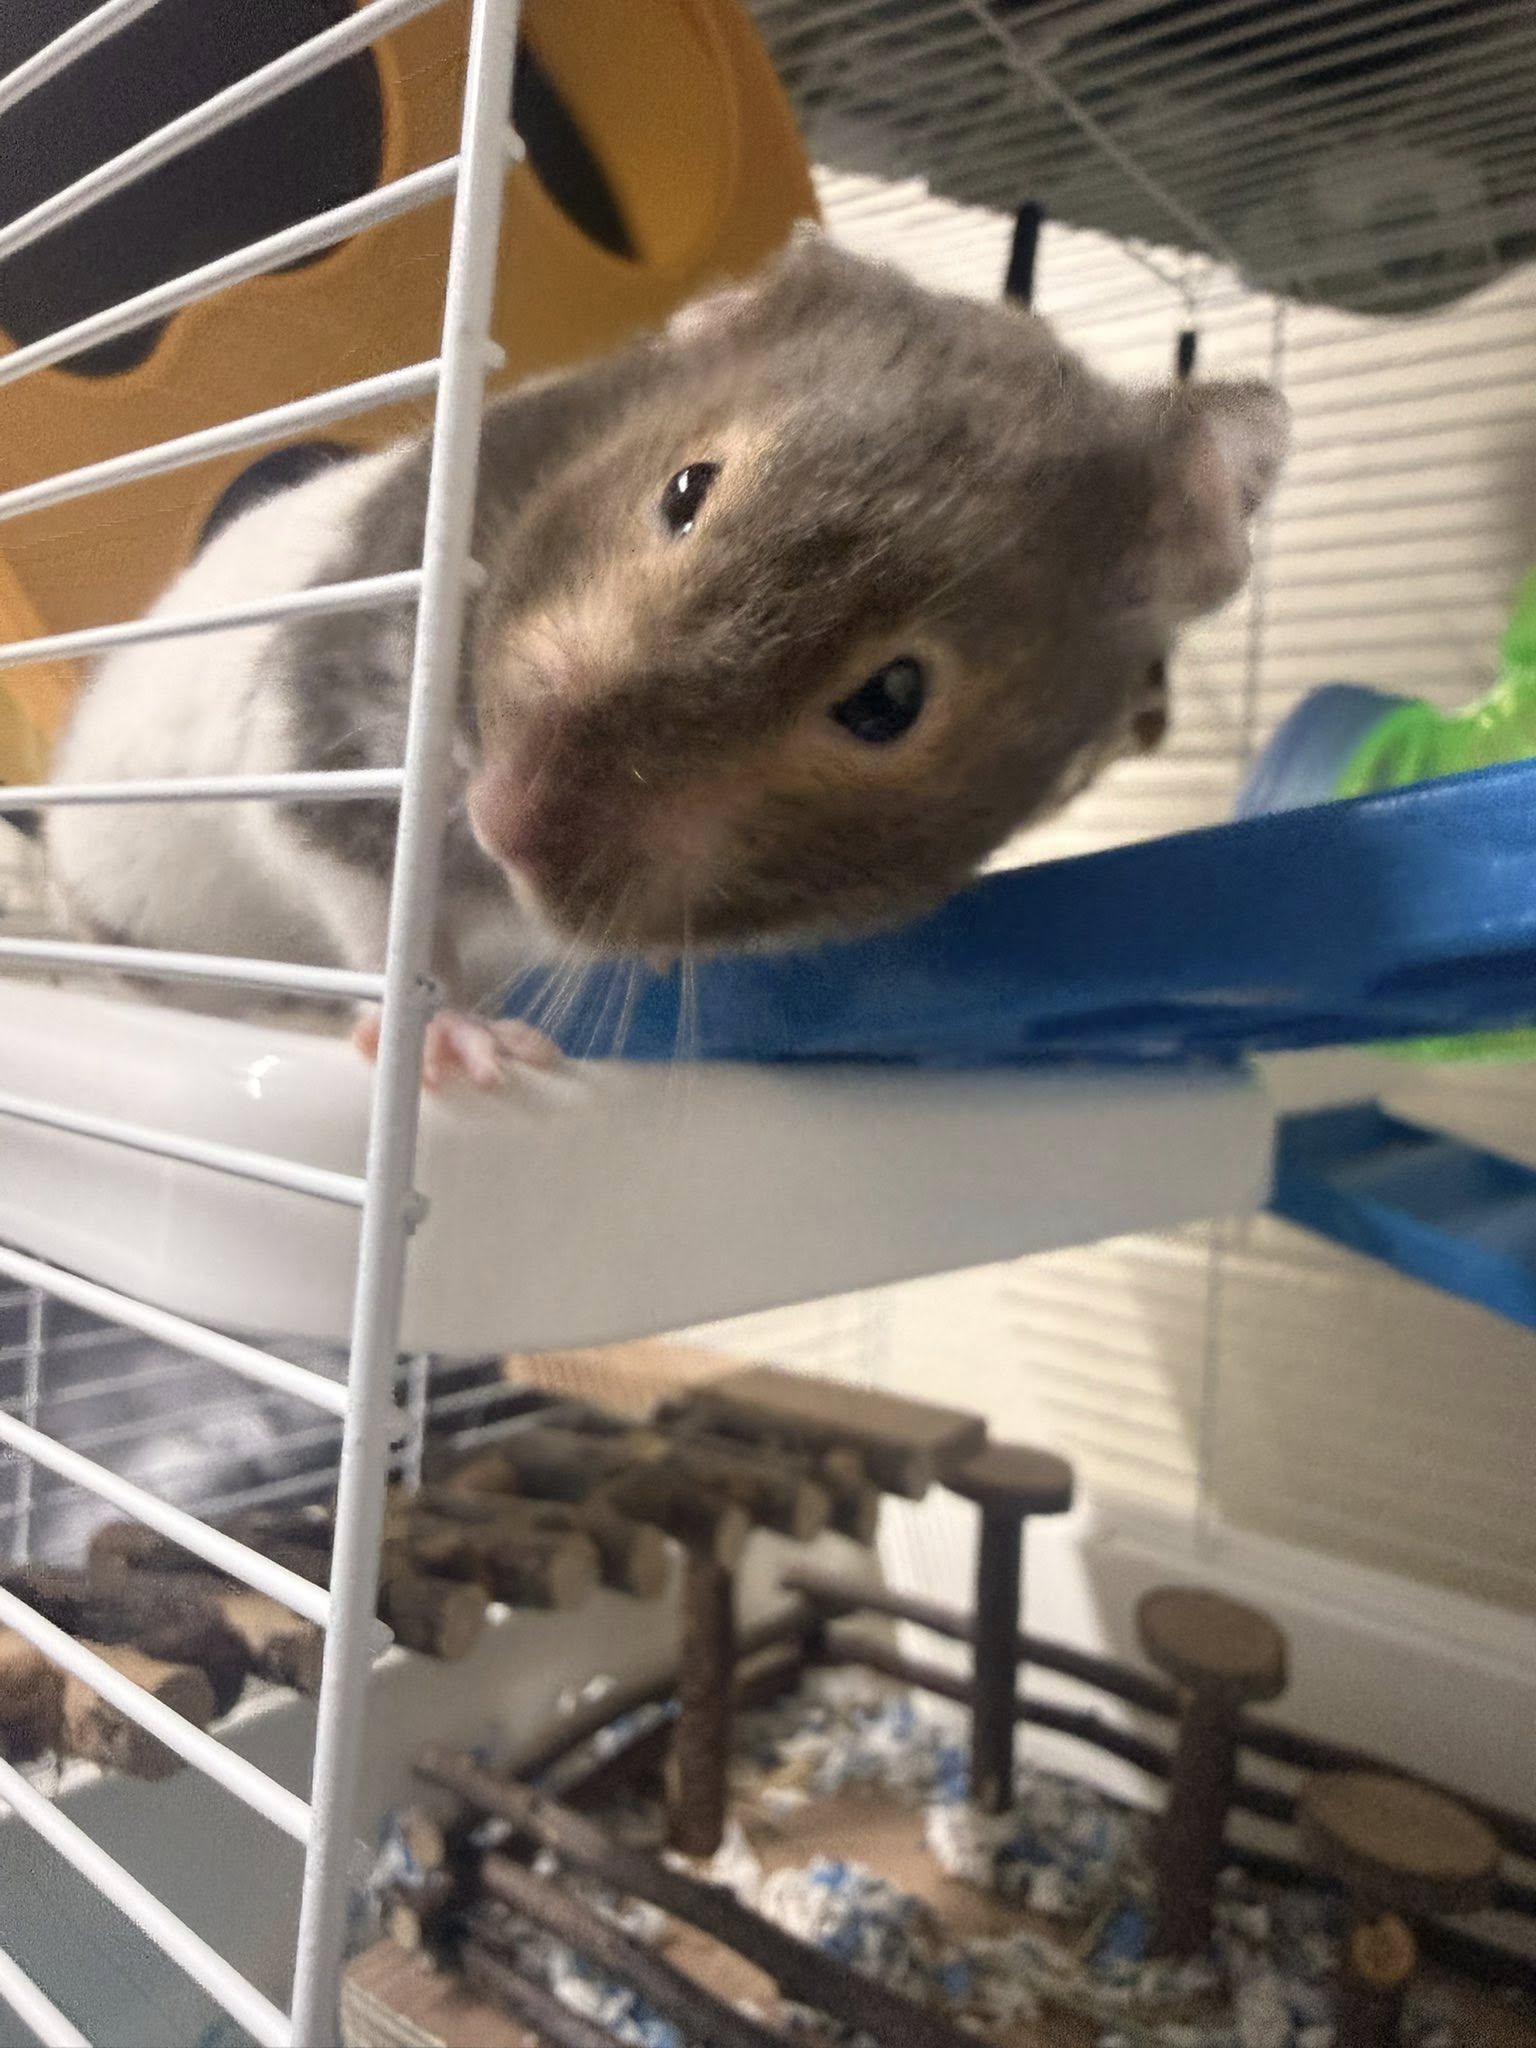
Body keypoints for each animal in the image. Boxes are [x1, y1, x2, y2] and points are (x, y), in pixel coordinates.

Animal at [46, 230, 1287, 1084]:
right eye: (685, 488)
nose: (506, 816)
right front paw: (473, 1053)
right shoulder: (322, 759)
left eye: (892, 698)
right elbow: (385, 922)